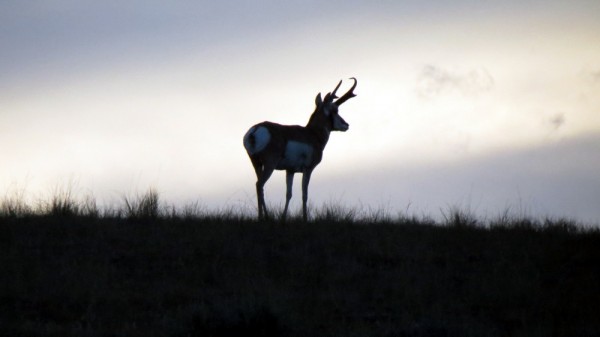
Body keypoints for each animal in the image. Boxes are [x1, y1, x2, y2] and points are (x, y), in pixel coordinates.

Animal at [243, 78, 356, 220]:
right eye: (335, 110)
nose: (346, 125)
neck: (312, 134)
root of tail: (256, 129)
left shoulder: (290, 171)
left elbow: (288, 194)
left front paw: (283, 217)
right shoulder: (308, 169)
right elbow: (304, 194)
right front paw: (305, 218)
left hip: (256, 164)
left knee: (259, 185)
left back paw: (262, 216)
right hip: (269, 165)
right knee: (260, 184)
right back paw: (266, 216)